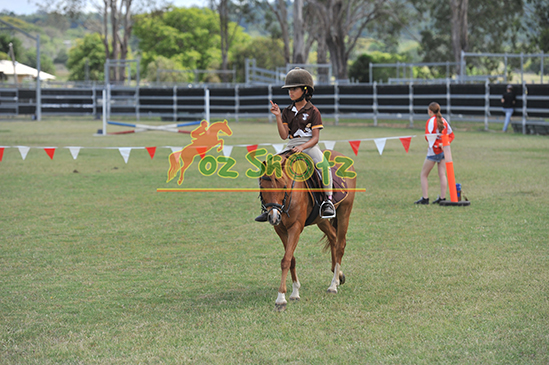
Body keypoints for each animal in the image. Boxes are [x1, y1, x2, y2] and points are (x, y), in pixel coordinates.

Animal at [260, 150, 358, 310]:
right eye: (263, 187)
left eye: (283, 186)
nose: (273, 217)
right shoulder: (280, 229)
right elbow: (291, 259)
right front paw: (295, 293)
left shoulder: (295, 227)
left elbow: (286, 260)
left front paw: (281, 299)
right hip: (321, 220)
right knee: (333, 237)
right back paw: (338, 276)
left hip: (345, 211)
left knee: (340, 245)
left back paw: (333, 285)